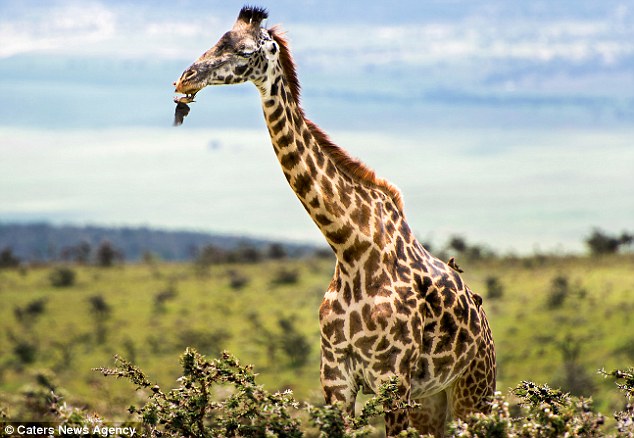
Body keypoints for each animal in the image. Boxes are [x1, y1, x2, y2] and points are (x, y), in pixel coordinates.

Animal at [173, 5, 494, 436]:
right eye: (216, 39)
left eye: (243, 51)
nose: (185, 78)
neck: (350, 246)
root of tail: (484, 323)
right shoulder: (336, 379)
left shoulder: (395, 379)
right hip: (432, 399)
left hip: (474, 392)